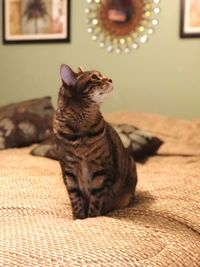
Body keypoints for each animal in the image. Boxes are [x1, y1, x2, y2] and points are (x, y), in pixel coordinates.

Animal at [53, 65, 138, 220]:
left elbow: (96, 199)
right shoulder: (69, 170)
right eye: (94, 77)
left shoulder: (101, 169)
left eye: (101, 75)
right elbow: (75, 198)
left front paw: (92, 218)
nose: (110, 79)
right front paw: (78, 218)